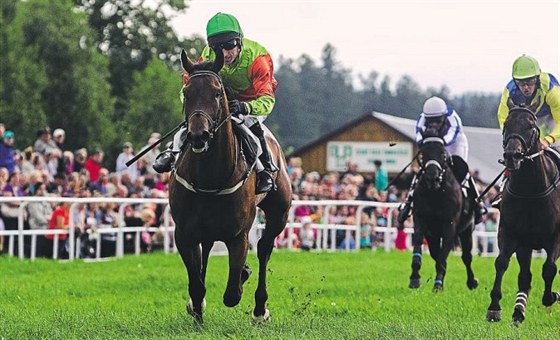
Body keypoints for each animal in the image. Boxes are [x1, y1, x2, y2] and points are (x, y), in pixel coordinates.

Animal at [170, 49, 294, 322]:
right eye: (187, 92)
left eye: (218, 93)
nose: (199, 135)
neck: (209, 177)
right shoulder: (184, 232)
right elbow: (196, 284)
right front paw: (197, 309)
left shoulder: (238, 236)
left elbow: (232, 294)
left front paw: (243, 276)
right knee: (206, 249)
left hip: (279, 213)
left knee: (264, 248)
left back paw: (259, 310)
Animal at [404, 131, 480, 290]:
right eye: (423, 154)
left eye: (443, 154)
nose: (432, 177)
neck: (436, 193)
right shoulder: (421, 220)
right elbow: (419, 247)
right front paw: (414, 279)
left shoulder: (449, 224)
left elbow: (444, 255)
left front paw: (438, 285)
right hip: (433, 235)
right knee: (436, 252)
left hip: (467, 230)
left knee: (466, 257)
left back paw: (472, 282)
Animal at [486, 100, 560, 324]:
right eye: (506, 125)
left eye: (530, 126)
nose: (512, 155)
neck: (530, 191)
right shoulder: (512, 235)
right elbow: (501, 263)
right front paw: (495, 307)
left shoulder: (556, 236)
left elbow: (549, 268)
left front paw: (552, 296)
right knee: (525, 276)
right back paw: (518, 311)